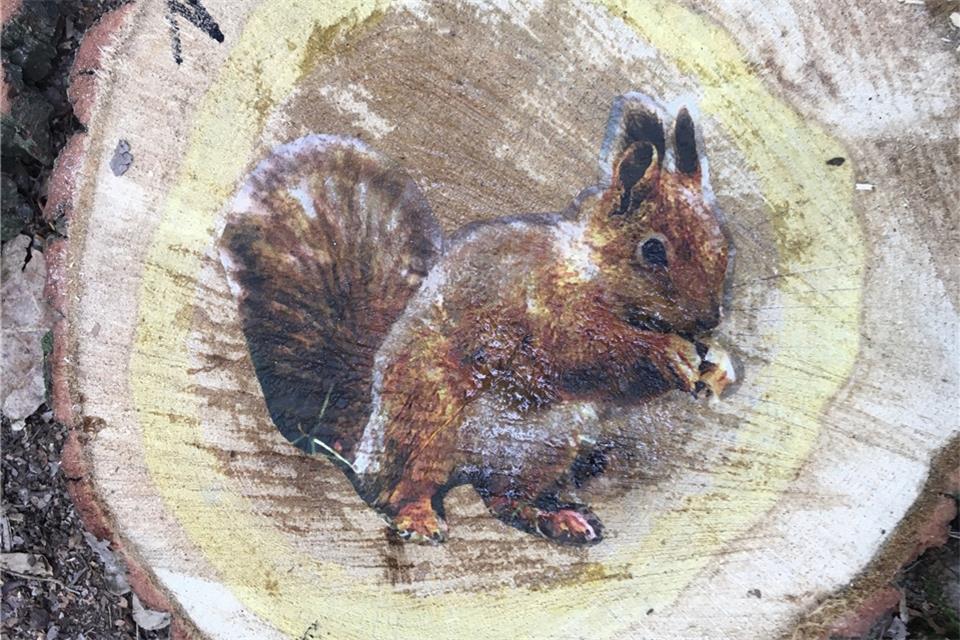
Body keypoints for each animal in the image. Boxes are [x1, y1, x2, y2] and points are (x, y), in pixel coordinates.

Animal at [218, 93, 735, 545]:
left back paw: (556, 517)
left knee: (503, 499)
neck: (589, 271)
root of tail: (363, 447)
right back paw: (419, 518)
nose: (710, 320)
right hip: (425, 423)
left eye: (722, 240)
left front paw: (720, 368)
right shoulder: (542, 310)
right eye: (653, 250)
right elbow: (588, 352)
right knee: (397, 491)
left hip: (541, 451)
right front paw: (667, 354)